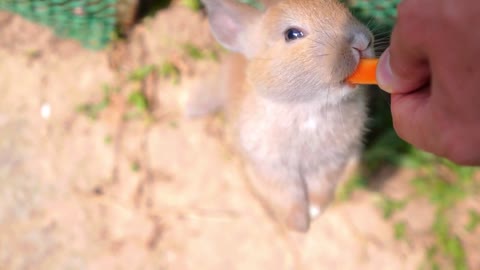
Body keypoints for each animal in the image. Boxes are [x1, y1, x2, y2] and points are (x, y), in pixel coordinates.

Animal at [191, 0, 376, 232]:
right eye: (292, 34)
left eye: (345, 10)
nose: (362, 42)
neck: (308, 107)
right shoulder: (273, 169)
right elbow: (288, 195)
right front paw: (299, 224)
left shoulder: (332, 161)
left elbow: (321, 187)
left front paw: (314, 211)